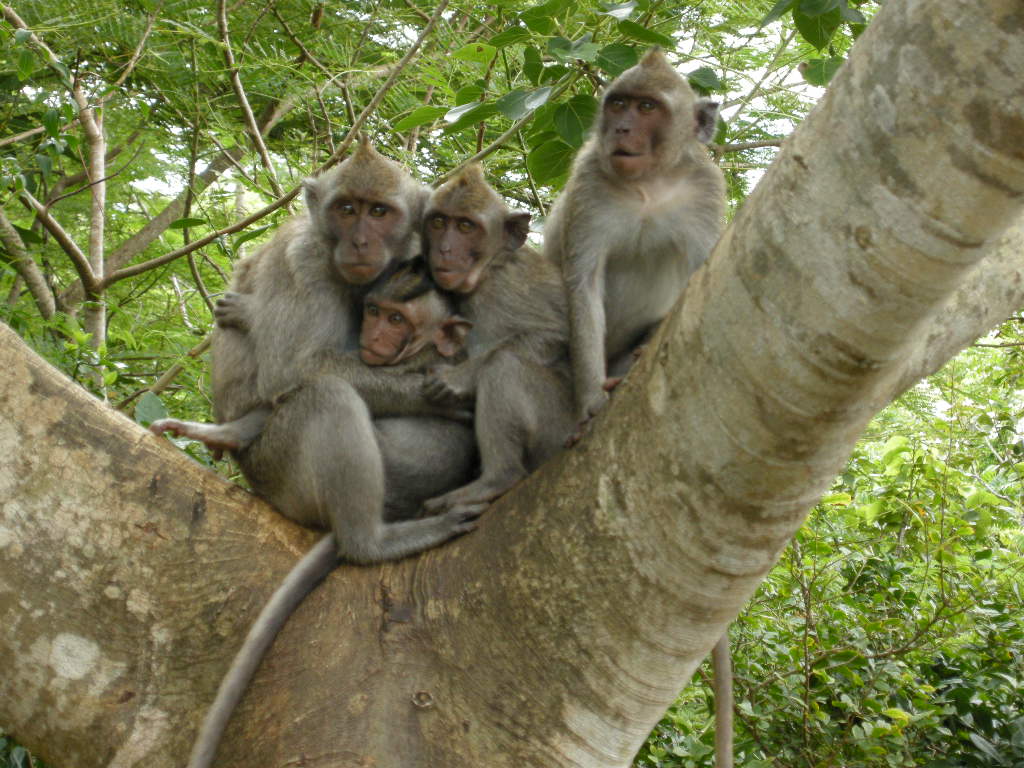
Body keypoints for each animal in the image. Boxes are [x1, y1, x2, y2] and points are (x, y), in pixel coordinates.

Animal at [417, 166, 577, 518]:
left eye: (465, 226)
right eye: (439, 222)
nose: (444, 249)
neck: (488, 270)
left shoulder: (510, 287)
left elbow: (555, 334)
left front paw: (457, 378)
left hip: (557, 429)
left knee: (504, 365)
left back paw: (497, 478)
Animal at [544, 47, 729, 423]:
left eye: (646, 107)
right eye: (618, 104)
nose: (621, 128)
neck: (648, 185)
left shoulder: (705, 189)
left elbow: (701, 277)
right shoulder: (589, 180)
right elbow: (583, 283)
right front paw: (591, 401)